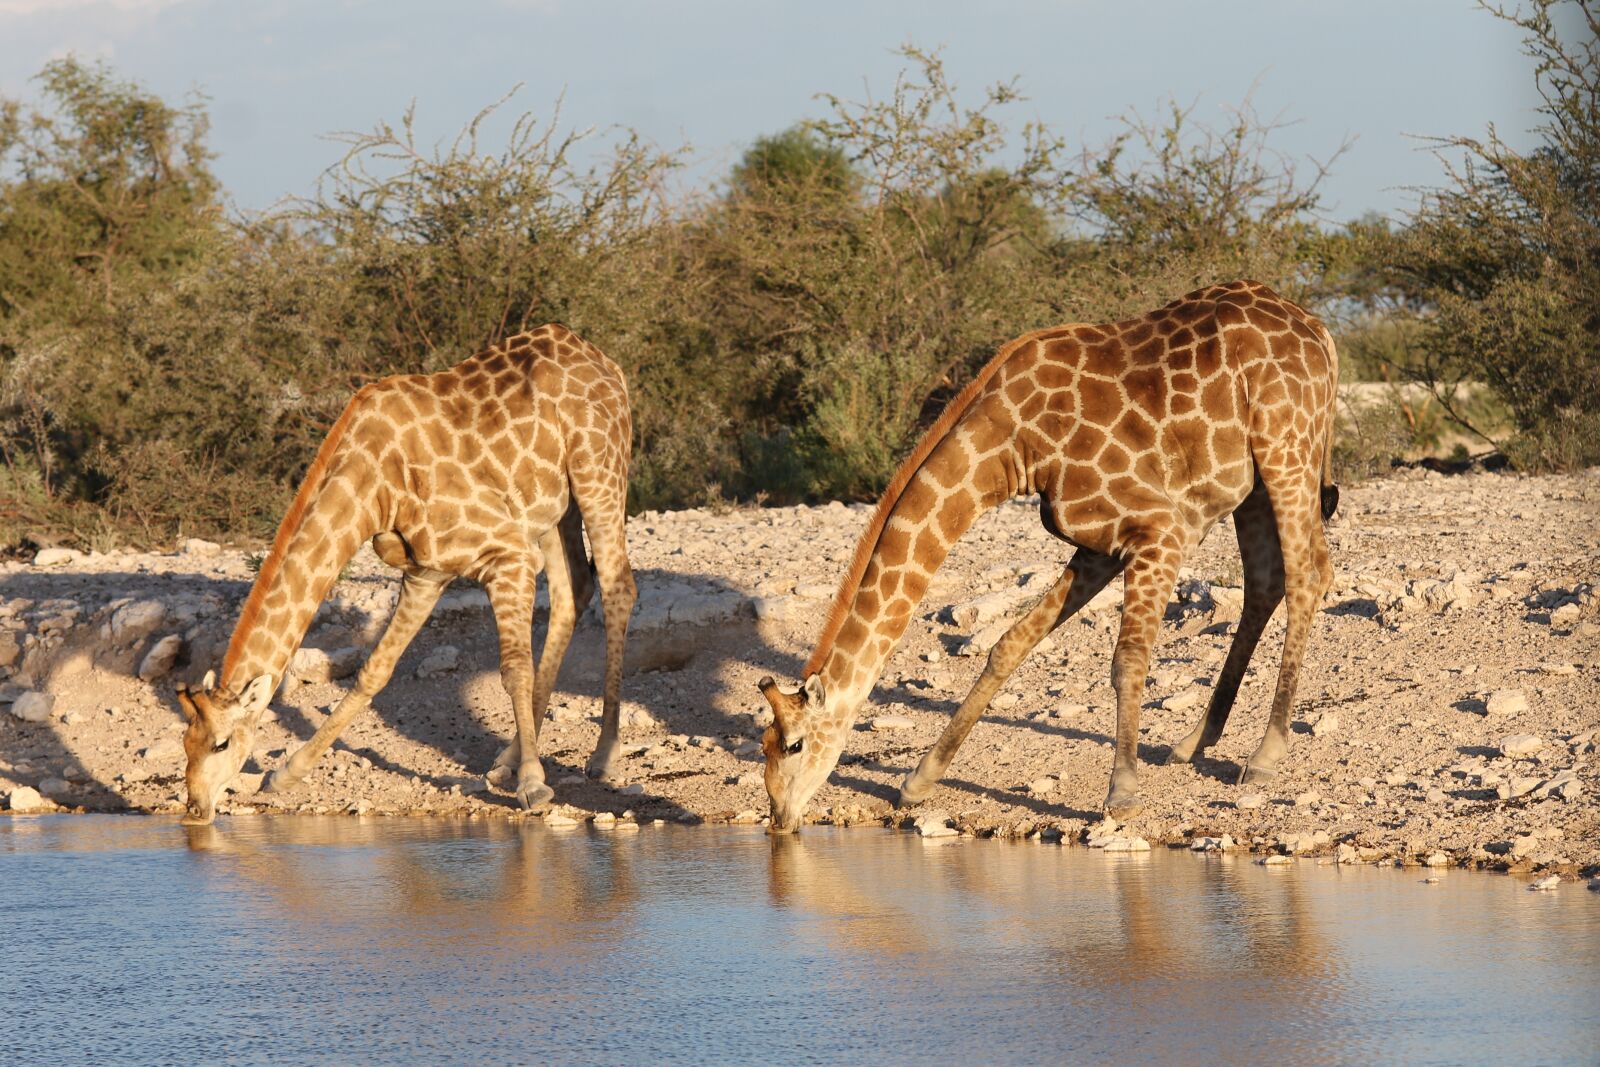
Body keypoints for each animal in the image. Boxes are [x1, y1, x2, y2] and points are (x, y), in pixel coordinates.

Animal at [176, 326, 636, 825]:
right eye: (185, 743)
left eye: (222, 744)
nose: (195, 809)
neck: (372, 489)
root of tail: (607, 363)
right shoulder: (425, 574)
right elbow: (373, 672)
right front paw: (286, 774)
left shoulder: (507, 553)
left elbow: (514, 669)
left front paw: (534, 784)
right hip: (552, 505)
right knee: (575, 590)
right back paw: (506, 760)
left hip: (598, 473)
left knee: (617, 586)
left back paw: (602, 754)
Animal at [761, 279, 1337, 831]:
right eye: (763, 746)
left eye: (794, 744)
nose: (780, 821)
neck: (1011, 448)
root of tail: (1319, 331)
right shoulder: (1102, 543)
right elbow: (1008, 645)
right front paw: (919, 780)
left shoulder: (1160, 528)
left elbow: (1128, 659)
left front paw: (1122, 794)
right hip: (1254, 480)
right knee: (1266, 581)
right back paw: (1194, 741)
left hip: (1287, 448)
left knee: (1307, 574)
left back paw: (1265, 754)